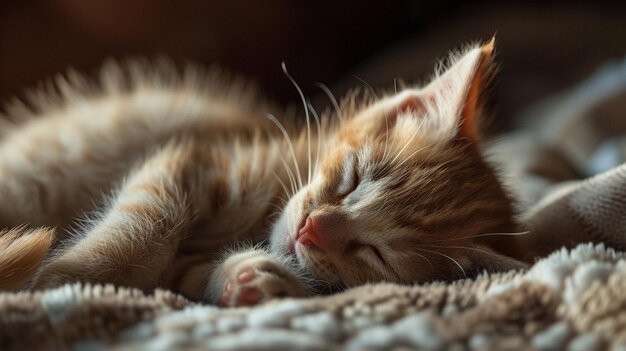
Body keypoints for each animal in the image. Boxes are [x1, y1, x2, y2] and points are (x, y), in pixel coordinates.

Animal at [0, 40, 524, 306]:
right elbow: (147, 222)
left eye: (375, 253)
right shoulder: (190, 158)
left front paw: (258, 279)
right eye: (353, 180)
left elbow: (192, 272)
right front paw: (74, 276)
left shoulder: (183, 265)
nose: (311, 230)